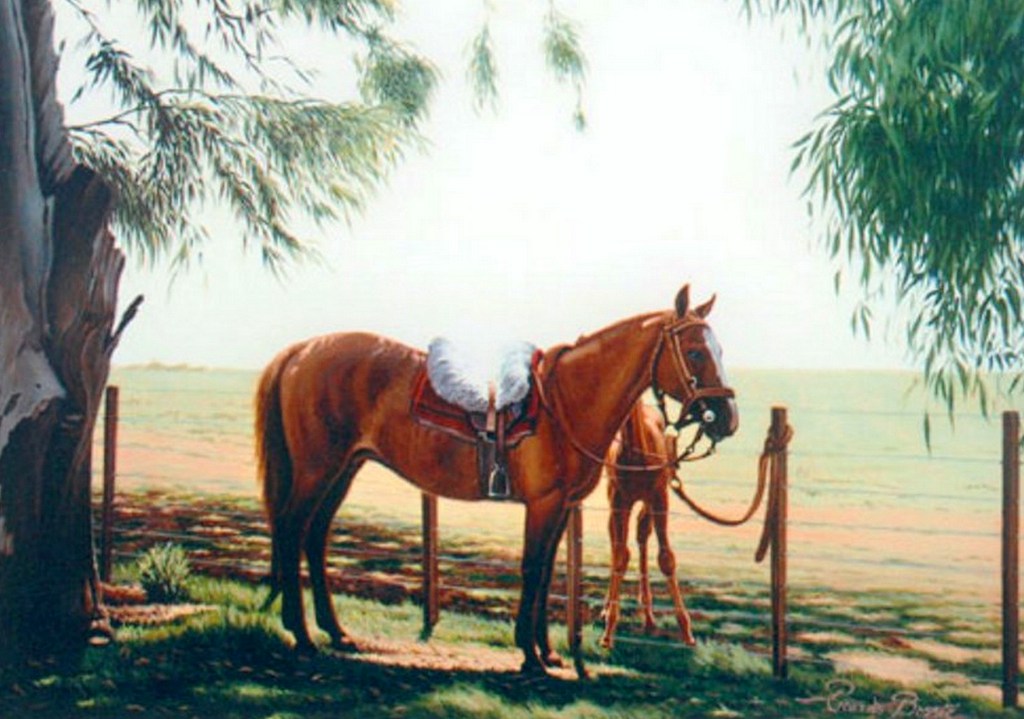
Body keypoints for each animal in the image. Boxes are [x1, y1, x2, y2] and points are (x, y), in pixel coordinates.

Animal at [600, 399, 695, 649]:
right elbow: (620, 556)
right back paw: (609, 609)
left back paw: (650, 619)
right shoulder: (619, 498)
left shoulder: (659, 496)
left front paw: (687, 631)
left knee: (642, 532)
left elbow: (666, 559)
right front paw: (608, 630)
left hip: (648, 501)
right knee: (616, 539)